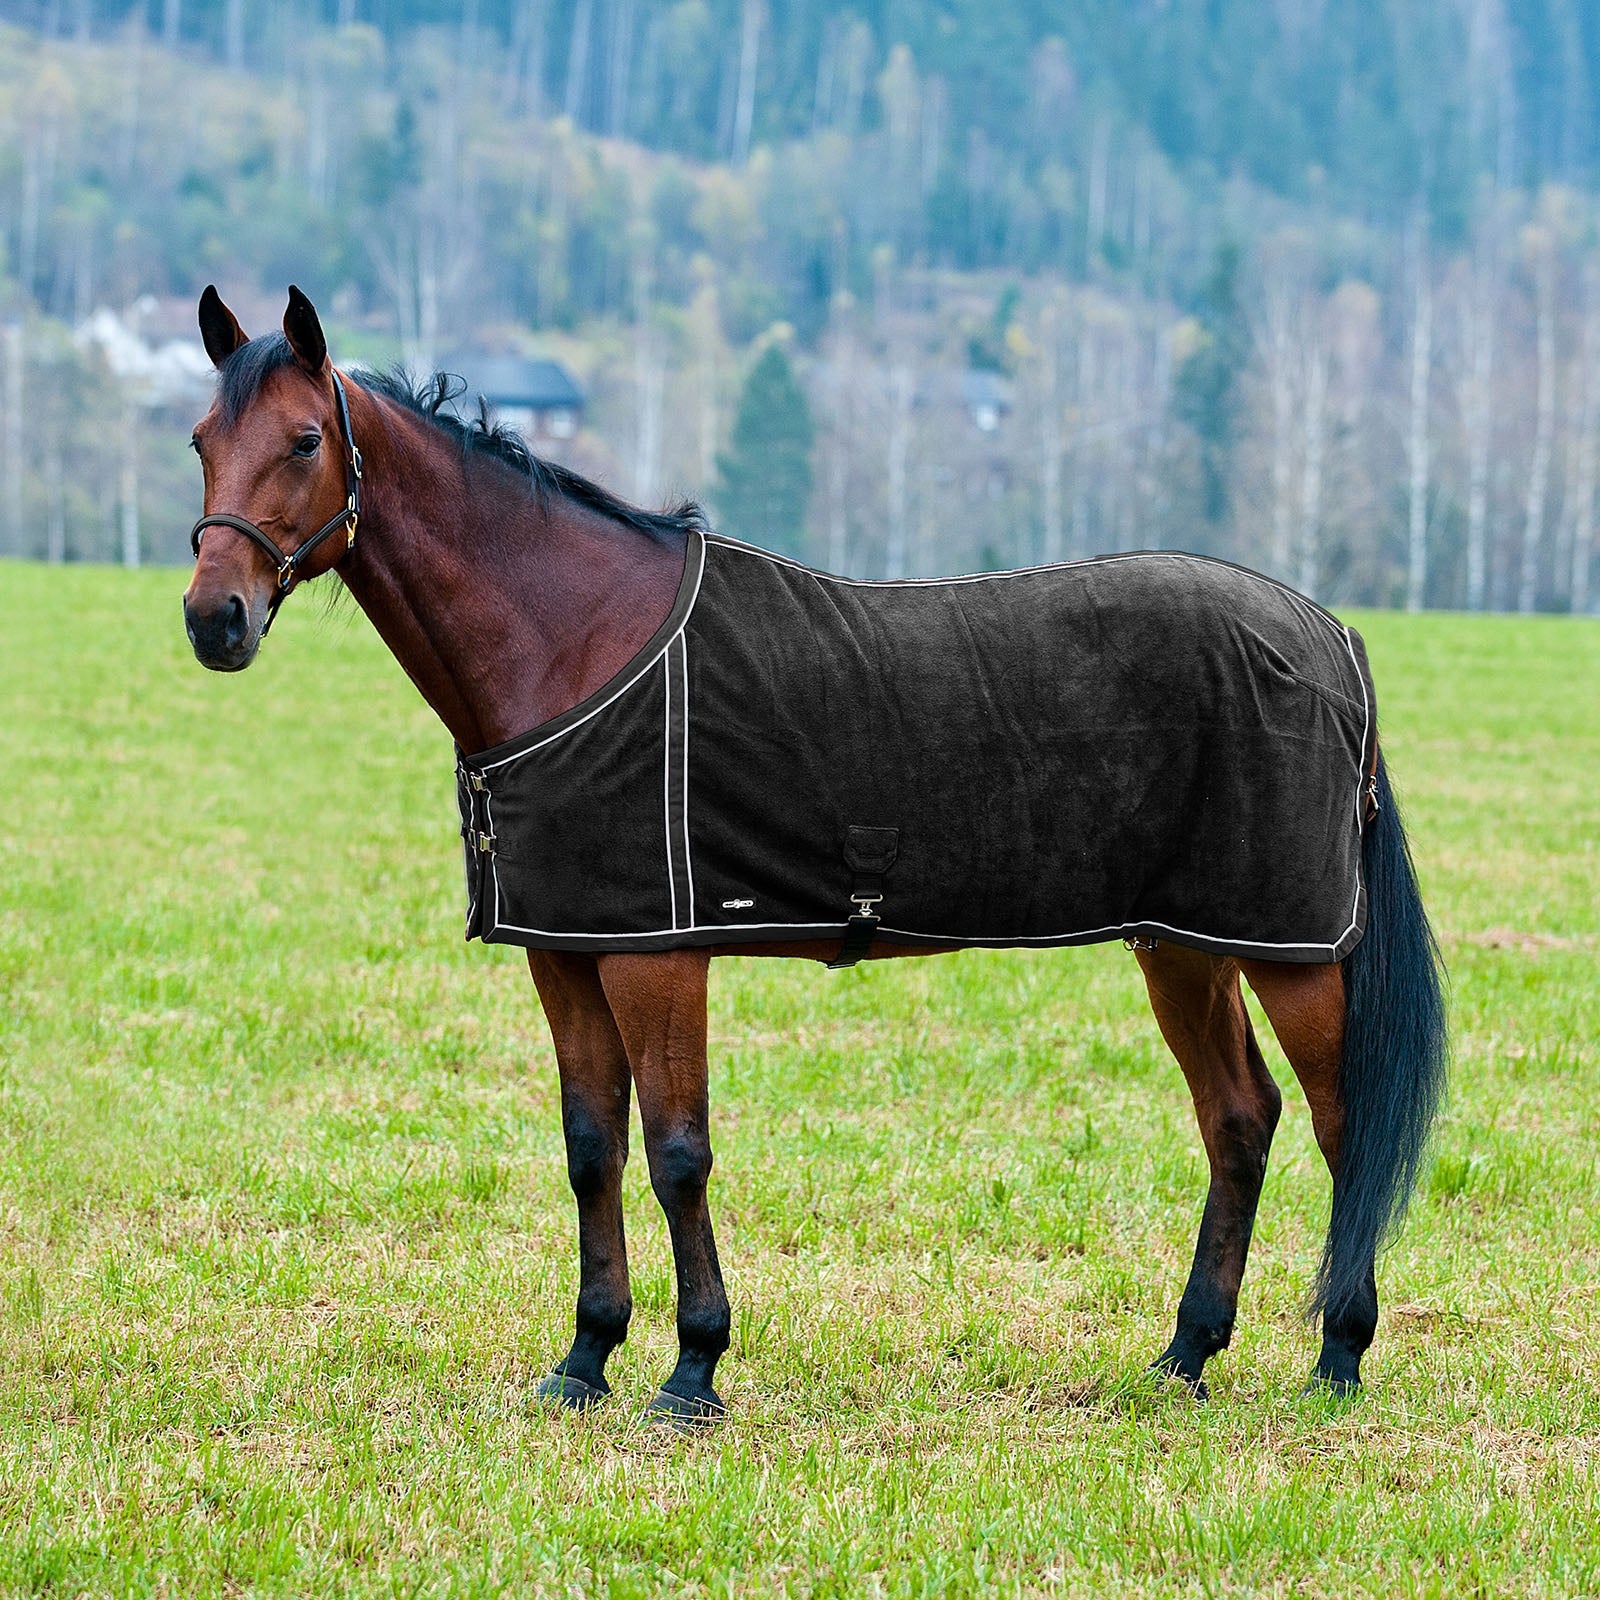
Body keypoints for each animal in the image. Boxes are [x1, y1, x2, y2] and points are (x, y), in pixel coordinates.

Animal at [181, 286, 1447, 1426]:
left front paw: (692, 1371)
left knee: (1344, 1124)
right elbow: (592, 1148)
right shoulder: (566, 948)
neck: (572, 642)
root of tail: (1332, 636)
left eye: (303, 440)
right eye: (199, 439)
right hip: (1184, 943)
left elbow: (676, 1151)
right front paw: (584, 1359)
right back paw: (1183, 1357)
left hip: (1288, 950)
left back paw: (1336, 1357)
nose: (213, 619)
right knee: (1238, 1117)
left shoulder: (657, 954)